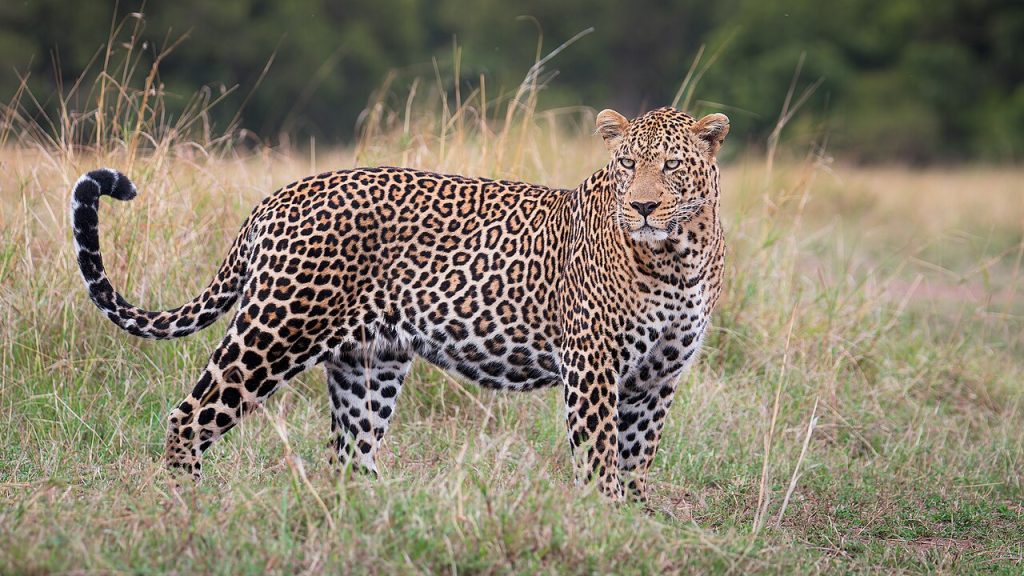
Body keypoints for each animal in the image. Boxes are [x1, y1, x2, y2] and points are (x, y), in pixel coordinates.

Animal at [71, 106, 729, 501]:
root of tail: (276, 197)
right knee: (189, 415)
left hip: (369, 362)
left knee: (349, 455)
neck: (678, 258)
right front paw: (599, 519)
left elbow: (636, 459)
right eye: (627, 164)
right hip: (274, 332)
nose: (642, 206)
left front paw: (633, 521)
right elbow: (598, 458)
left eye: (672, 165)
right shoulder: (592, 366)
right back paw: (188, 505)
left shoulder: (659, 377)